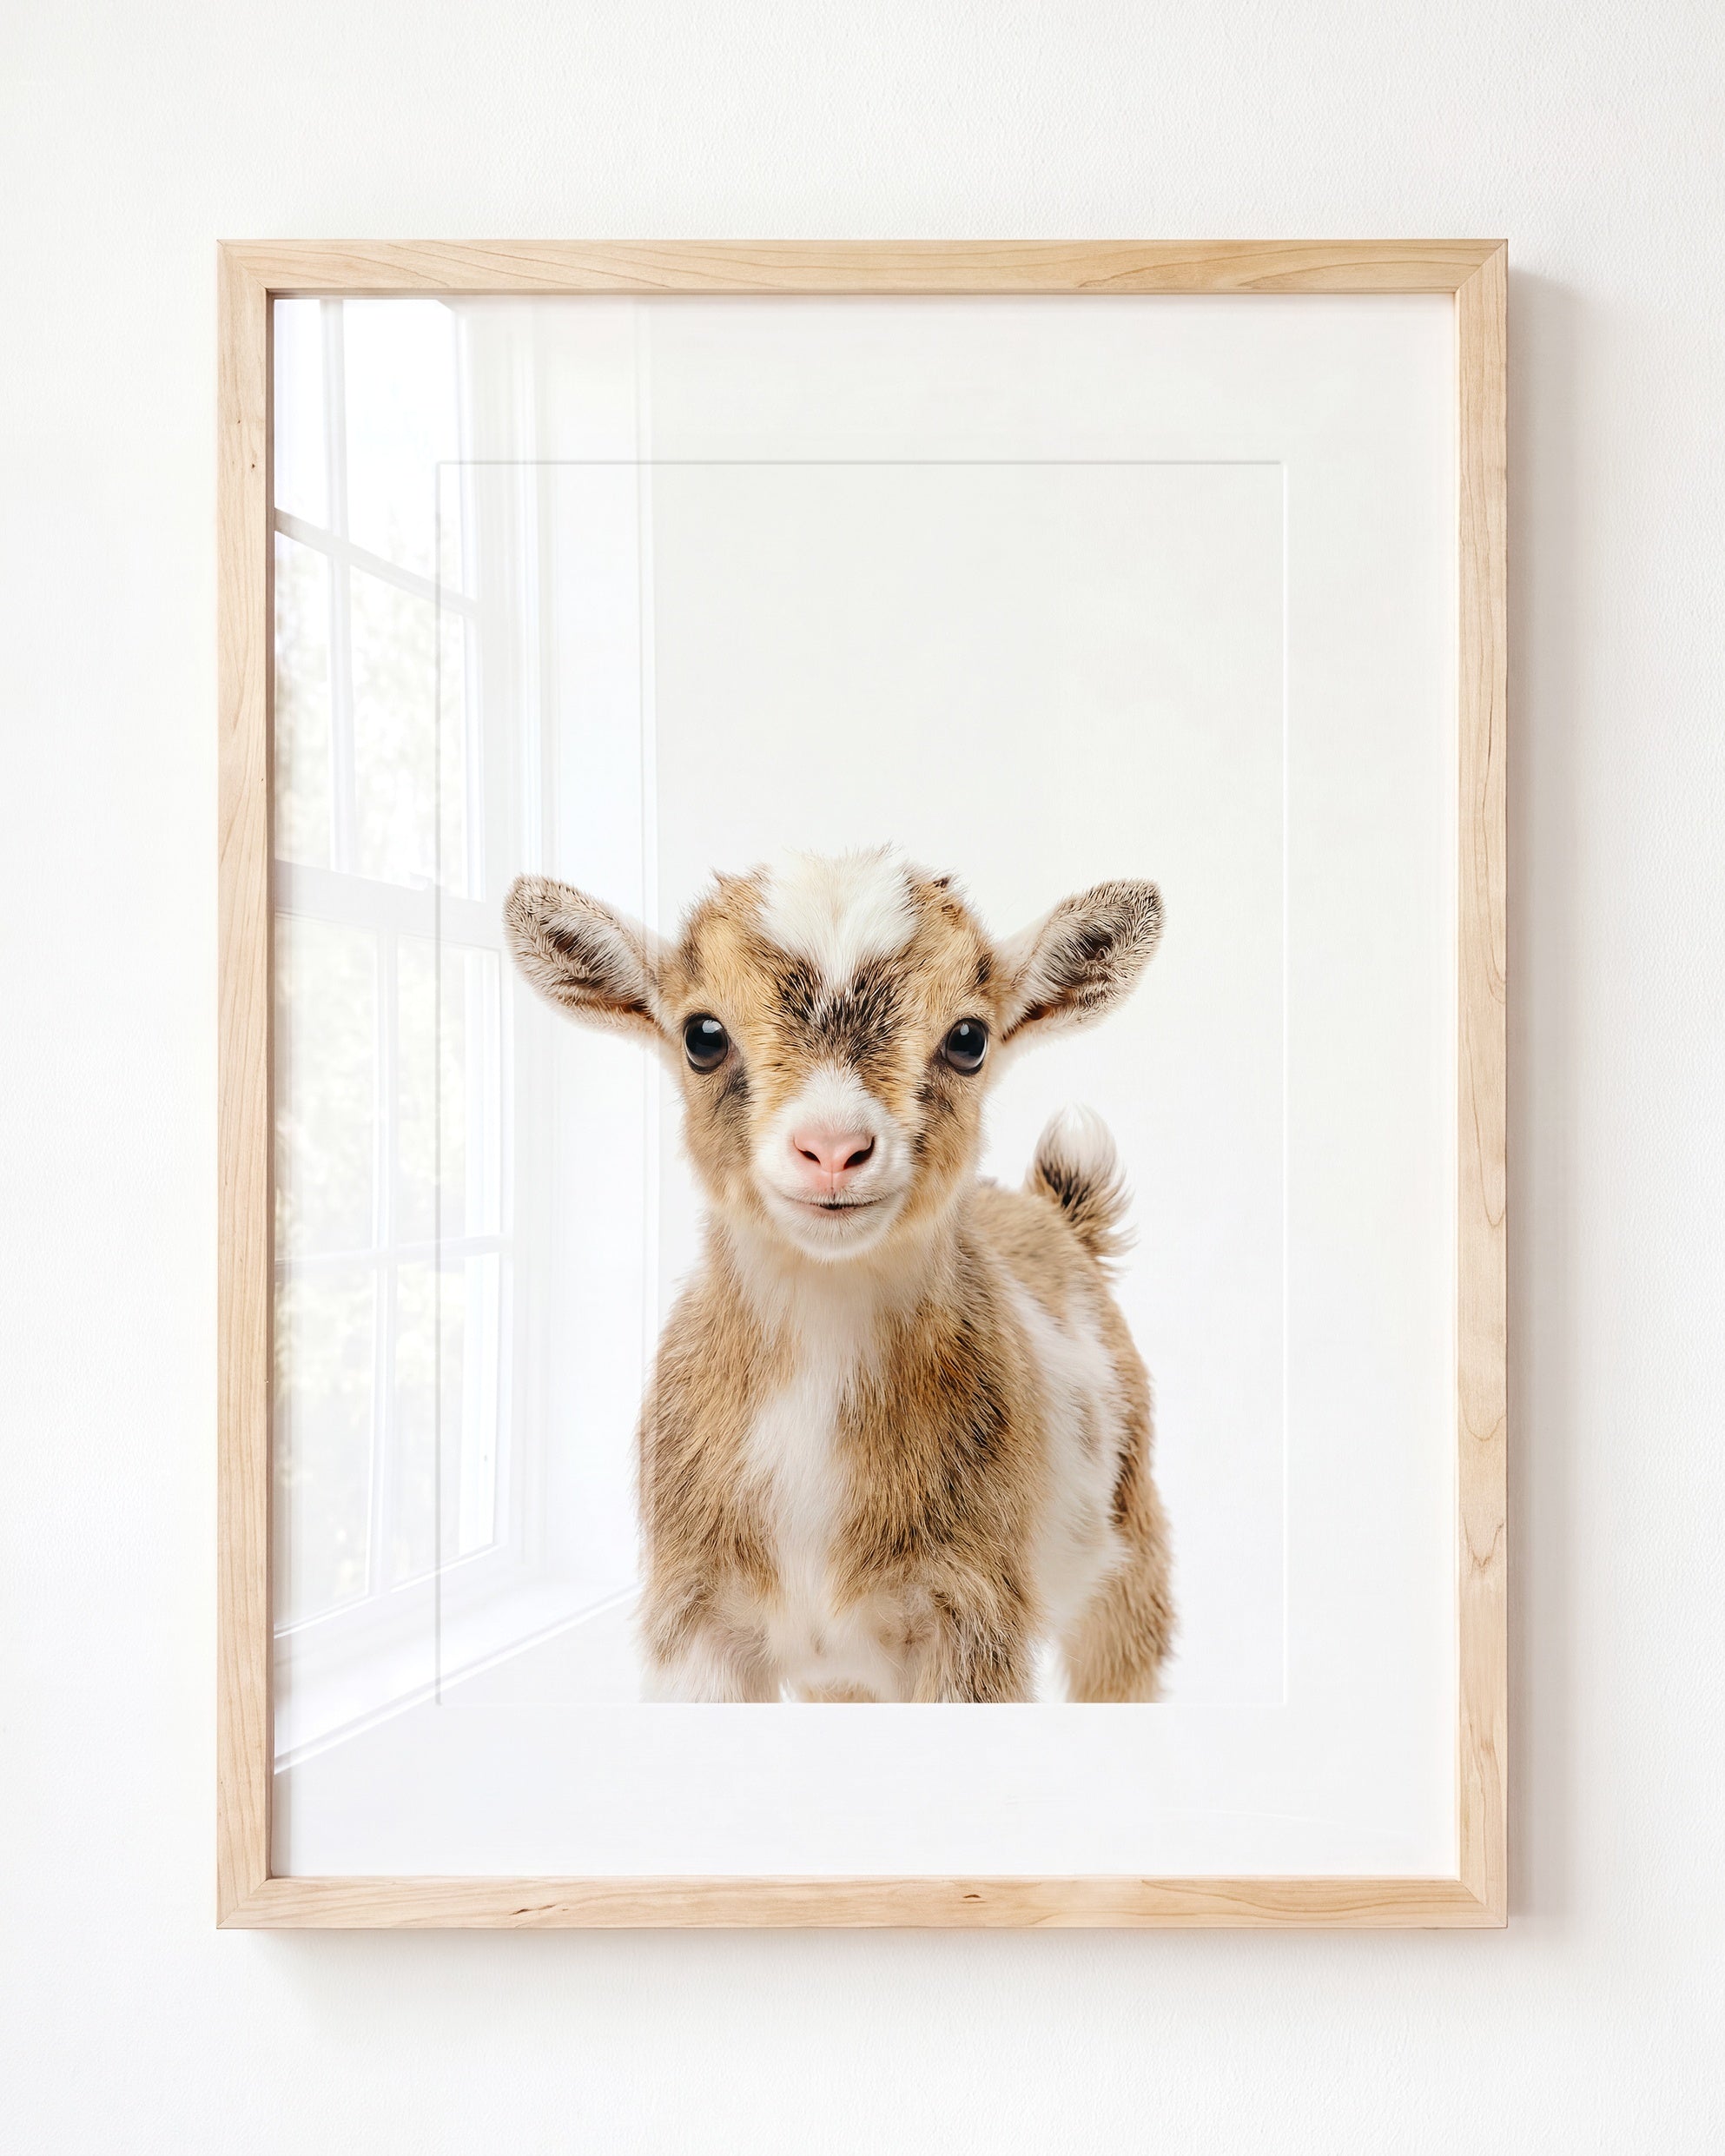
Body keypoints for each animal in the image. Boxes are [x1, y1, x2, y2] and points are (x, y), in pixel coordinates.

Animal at [504, 847, 1173, 1702]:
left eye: (968, 1039)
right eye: (702, 1035)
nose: (831, 1149)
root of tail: (1057, 1215)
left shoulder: (974, 1615)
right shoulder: (695, 1617)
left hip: (1132, 1550)